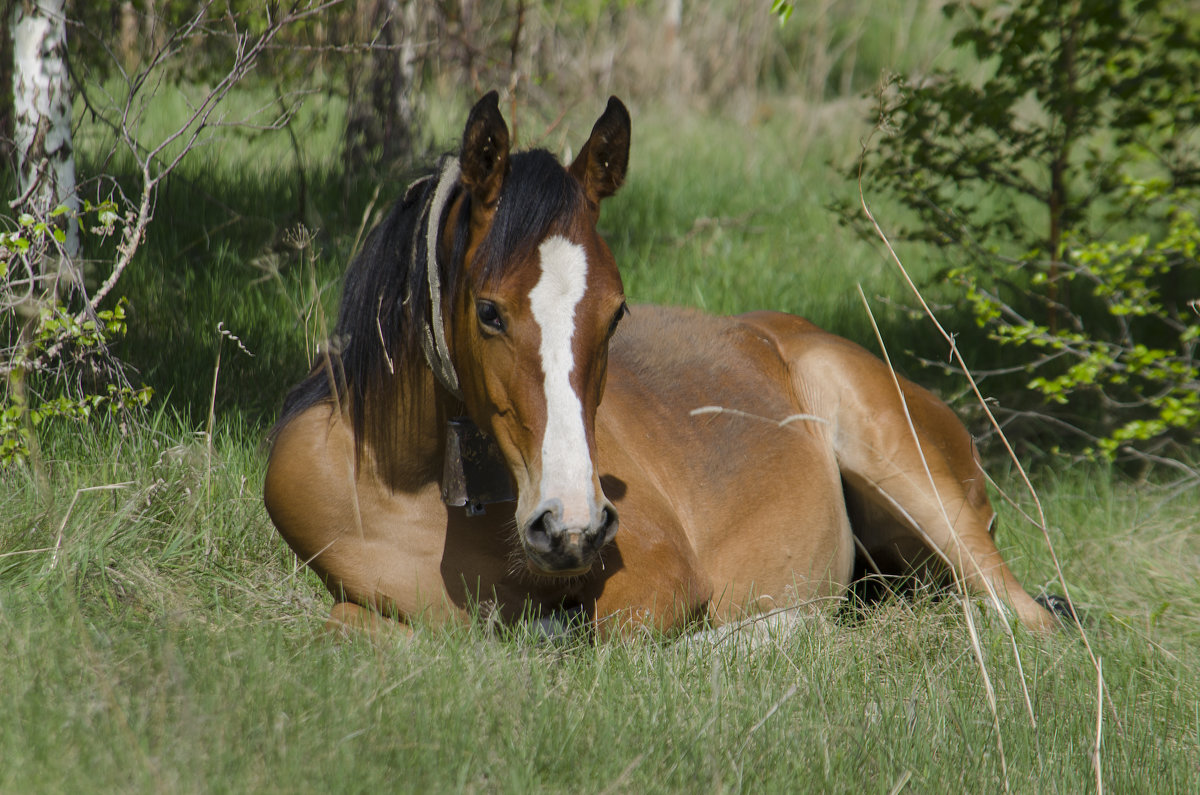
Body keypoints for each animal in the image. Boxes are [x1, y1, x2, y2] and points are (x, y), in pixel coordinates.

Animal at [265, 91, 1060, 643]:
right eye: (488, 311)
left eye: (616, 313)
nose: (573, 527)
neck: (409, 484)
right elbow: (348, 623)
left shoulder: (656, 576)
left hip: (914, 483)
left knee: (1029, 617)